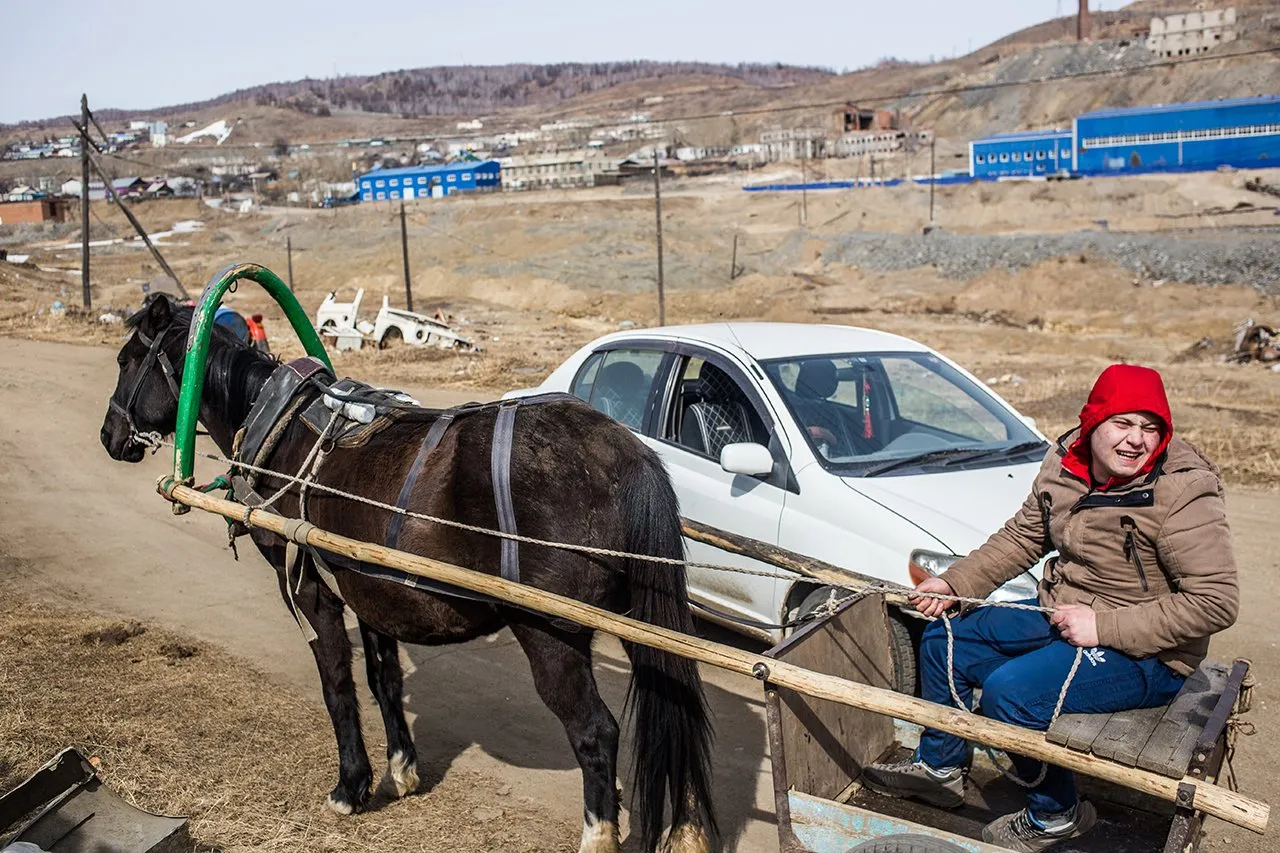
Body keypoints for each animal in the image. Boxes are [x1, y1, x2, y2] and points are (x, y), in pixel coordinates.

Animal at [99, 294, 716, 850]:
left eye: (127, 360)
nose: (108, 436)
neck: (281, 430)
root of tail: (625, 453)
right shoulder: (367, 584)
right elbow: (383, 679)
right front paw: (401, 769)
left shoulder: (307, 585)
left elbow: (337, 683)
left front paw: (351, 786)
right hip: (642, 620)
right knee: (676, 711)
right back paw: (686, 832)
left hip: (549, 631)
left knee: (595, 732)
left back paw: (598, 834)